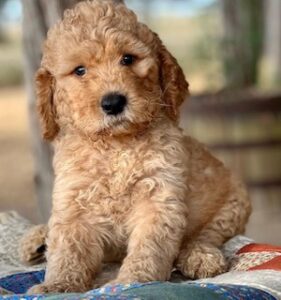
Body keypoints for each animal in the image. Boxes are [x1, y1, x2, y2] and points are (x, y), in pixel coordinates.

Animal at [23, 0, 250, 292]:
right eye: (80, 70)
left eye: (128, 59)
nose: (113, 103)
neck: (116, 145)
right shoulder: (74, 199)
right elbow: (68, 248)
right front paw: (58, 284)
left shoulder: (159, 197)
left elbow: (149, 247)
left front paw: (134, 280)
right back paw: (37, 241)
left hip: (231, 206)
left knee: (205, 234)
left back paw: (200, 257)